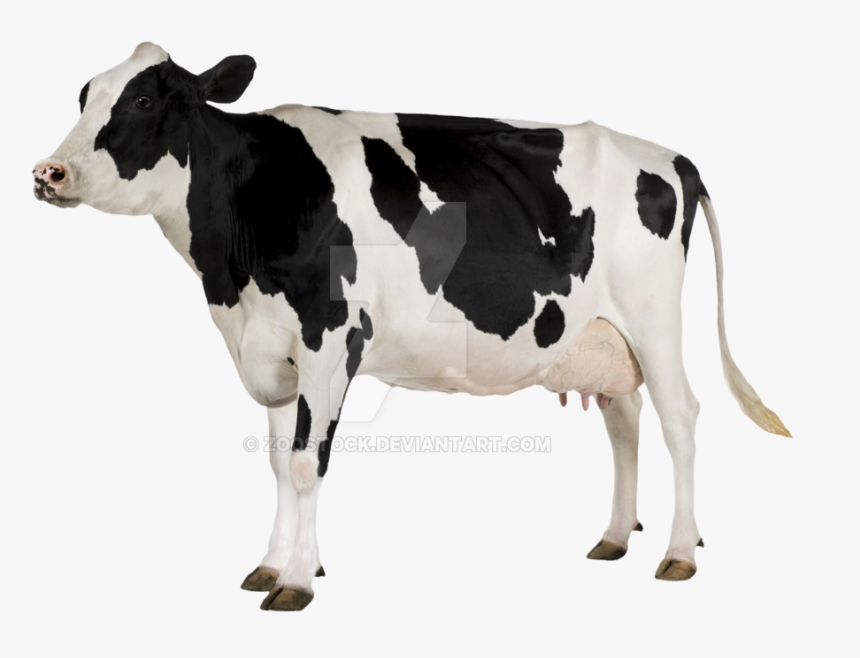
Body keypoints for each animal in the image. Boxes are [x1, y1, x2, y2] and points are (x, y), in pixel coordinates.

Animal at [32, 43, 790, 611]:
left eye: (144, 100)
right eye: (84, 94)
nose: (48, 171)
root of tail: (670, 156)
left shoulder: (330, 339)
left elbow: (307, 464)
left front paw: (298, 581)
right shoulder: (271, 352)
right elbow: (277, 463)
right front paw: (272, 564)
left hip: (654, 318)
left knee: (680, 419)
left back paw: (678, 551)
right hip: (598, 333)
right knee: (624, 421)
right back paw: (613, 537)